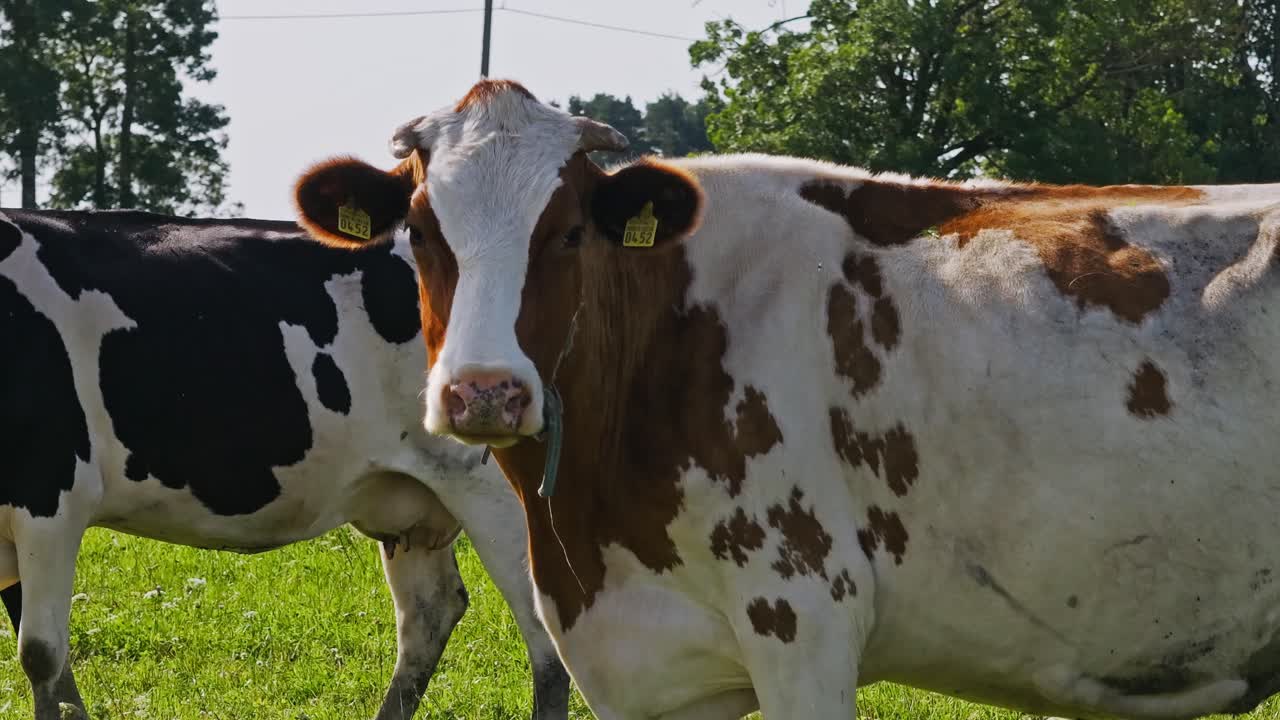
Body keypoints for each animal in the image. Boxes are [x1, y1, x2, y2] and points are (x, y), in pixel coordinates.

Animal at [0, 207, 569, 720]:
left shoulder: (52, 494)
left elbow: (40, 654)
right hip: (416, 497)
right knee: (430, 613)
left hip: (499, 492)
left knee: (546, 635)